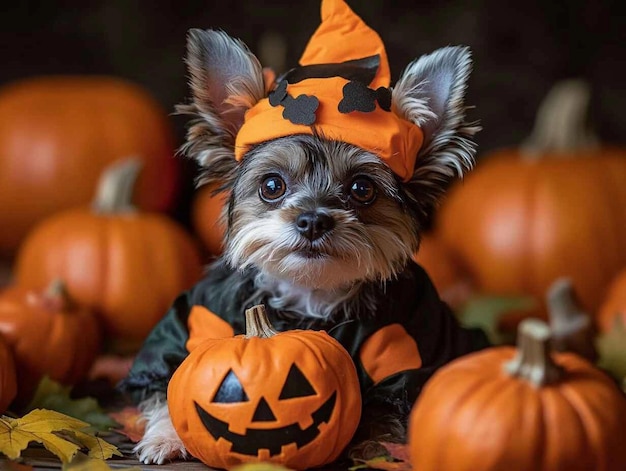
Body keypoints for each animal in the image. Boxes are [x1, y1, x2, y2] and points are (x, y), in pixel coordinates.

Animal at [118, 0, 488, 464]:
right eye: (272, 185)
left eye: (362, 189)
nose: (313, 219)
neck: (308, 297)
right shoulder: (194, 319)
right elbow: (170, 383)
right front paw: (166, 436)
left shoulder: (412, 346)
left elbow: (383, 412)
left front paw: (365, 446)